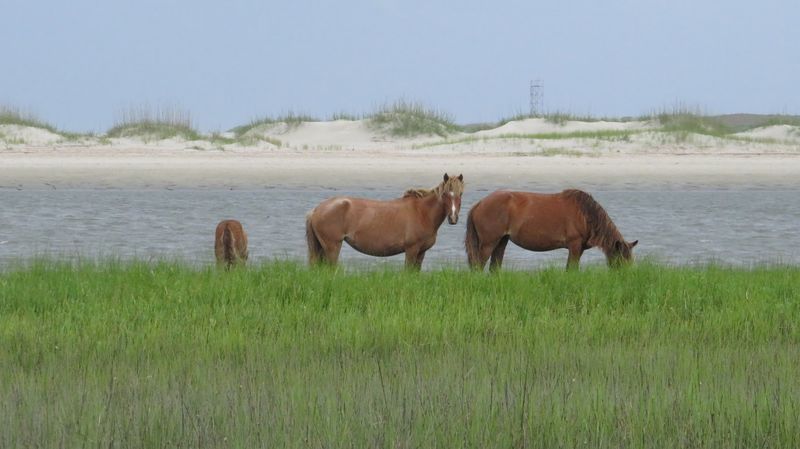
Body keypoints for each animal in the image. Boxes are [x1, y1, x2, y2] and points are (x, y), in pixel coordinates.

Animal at [306, 173, 465, 269]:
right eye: (445, 194)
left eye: (461, 194)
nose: (453, 218)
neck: (422, 212)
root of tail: (316, 209)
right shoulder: (411, 250)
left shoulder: (421, 252)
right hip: (332, 247)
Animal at [465, 189, 637, 271]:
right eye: (621, 259)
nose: (625, 277)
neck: (585, 214)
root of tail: (479, 204)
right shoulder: (574, 246)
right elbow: (571, 269)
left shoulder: (579, 248)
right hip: (488, 243)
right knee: (478, 266)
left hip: (501, 241)